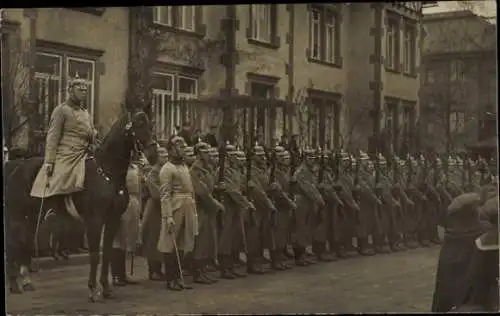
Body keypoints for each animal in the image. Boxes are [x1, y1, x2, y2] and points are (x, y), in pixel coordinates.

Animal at [3, 108, 155, 302]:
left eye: (149, 123)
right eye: (138, 124)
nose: (153, 153)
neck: (107, 172)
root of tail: (16, 168)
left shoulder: (112, 220)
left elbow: (106, 253)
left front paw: (106, 288)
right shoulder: (95, 221)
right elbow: (94, 254)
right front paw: (92, 290)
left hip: (32, 217)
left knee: (25, 243)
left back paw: (25, 282)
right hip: (16, 217)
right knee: (13, 243)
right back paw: (14, 285)